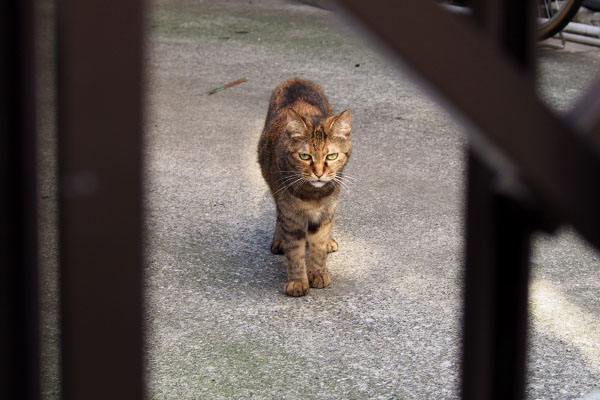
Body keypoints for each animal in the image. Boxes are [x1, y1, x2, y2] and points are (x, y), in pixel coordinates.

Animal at [258, 78, 352, 296]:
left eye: (331, 156)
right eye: (304, 156)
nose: (318, 173)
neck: (314, 195)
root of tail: (296, 79)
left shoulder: (325, 215)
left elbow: (318, 247)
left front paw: (317, 273)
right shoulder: (291, 217)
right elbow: (295, 253)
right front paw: (298, 281)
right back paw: (279, 241)